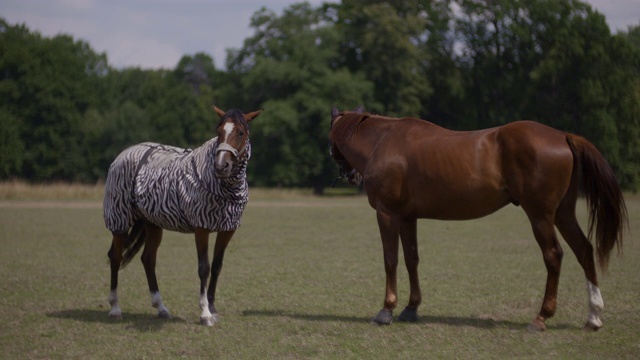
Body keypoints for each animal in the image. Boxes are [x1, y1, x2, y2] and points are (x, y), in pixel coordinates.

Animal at [104, 105, 262, 326]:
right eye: (218, 131)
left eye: (241, 132)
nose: (221, 166)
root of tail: (124, 154)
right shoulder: (201, 227)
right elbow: (204, 267)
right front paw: (205, 313)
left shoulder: (228, 228)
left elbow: (217, 266)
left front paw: (213, 308)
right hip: (119, 219)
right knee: (116, 257)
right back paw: (115, 308)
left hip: (152, 224)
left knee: (148, 259)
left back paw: (161, 308)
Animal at [330, 109, 624, 332]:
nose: (350, 176)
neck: (383, 141)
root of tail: (563, 136)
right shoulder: (407, 217)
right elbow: (412, 259)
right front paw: (411, 308)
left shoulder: (387, 214)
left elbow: (390, 260)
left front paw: (386, 310)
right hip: (563, 213)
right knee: (584, 250)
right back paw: (593, 317)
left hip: (540, 216)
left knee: (554, 255)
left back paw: (541, 317)